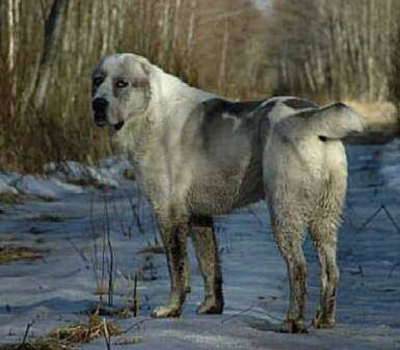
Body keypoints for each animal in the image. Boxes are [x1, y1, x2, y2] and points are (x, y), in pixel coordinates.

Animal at [91, 52, 366, 334]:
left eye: (122, 83)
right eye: (97, 81)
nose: (97, 104)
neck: (151, 111)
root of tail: (310, 115)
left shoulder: (169, 214)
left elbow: (177, 268)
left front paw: (171, 309)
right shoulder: (199, 217)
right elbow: (209, 265)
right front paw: (212, 307)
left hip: (284, 212)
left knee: (298, 267)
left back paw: (293, 321)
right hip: (326, 219)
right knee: (331, 270)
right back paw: (324, 320)